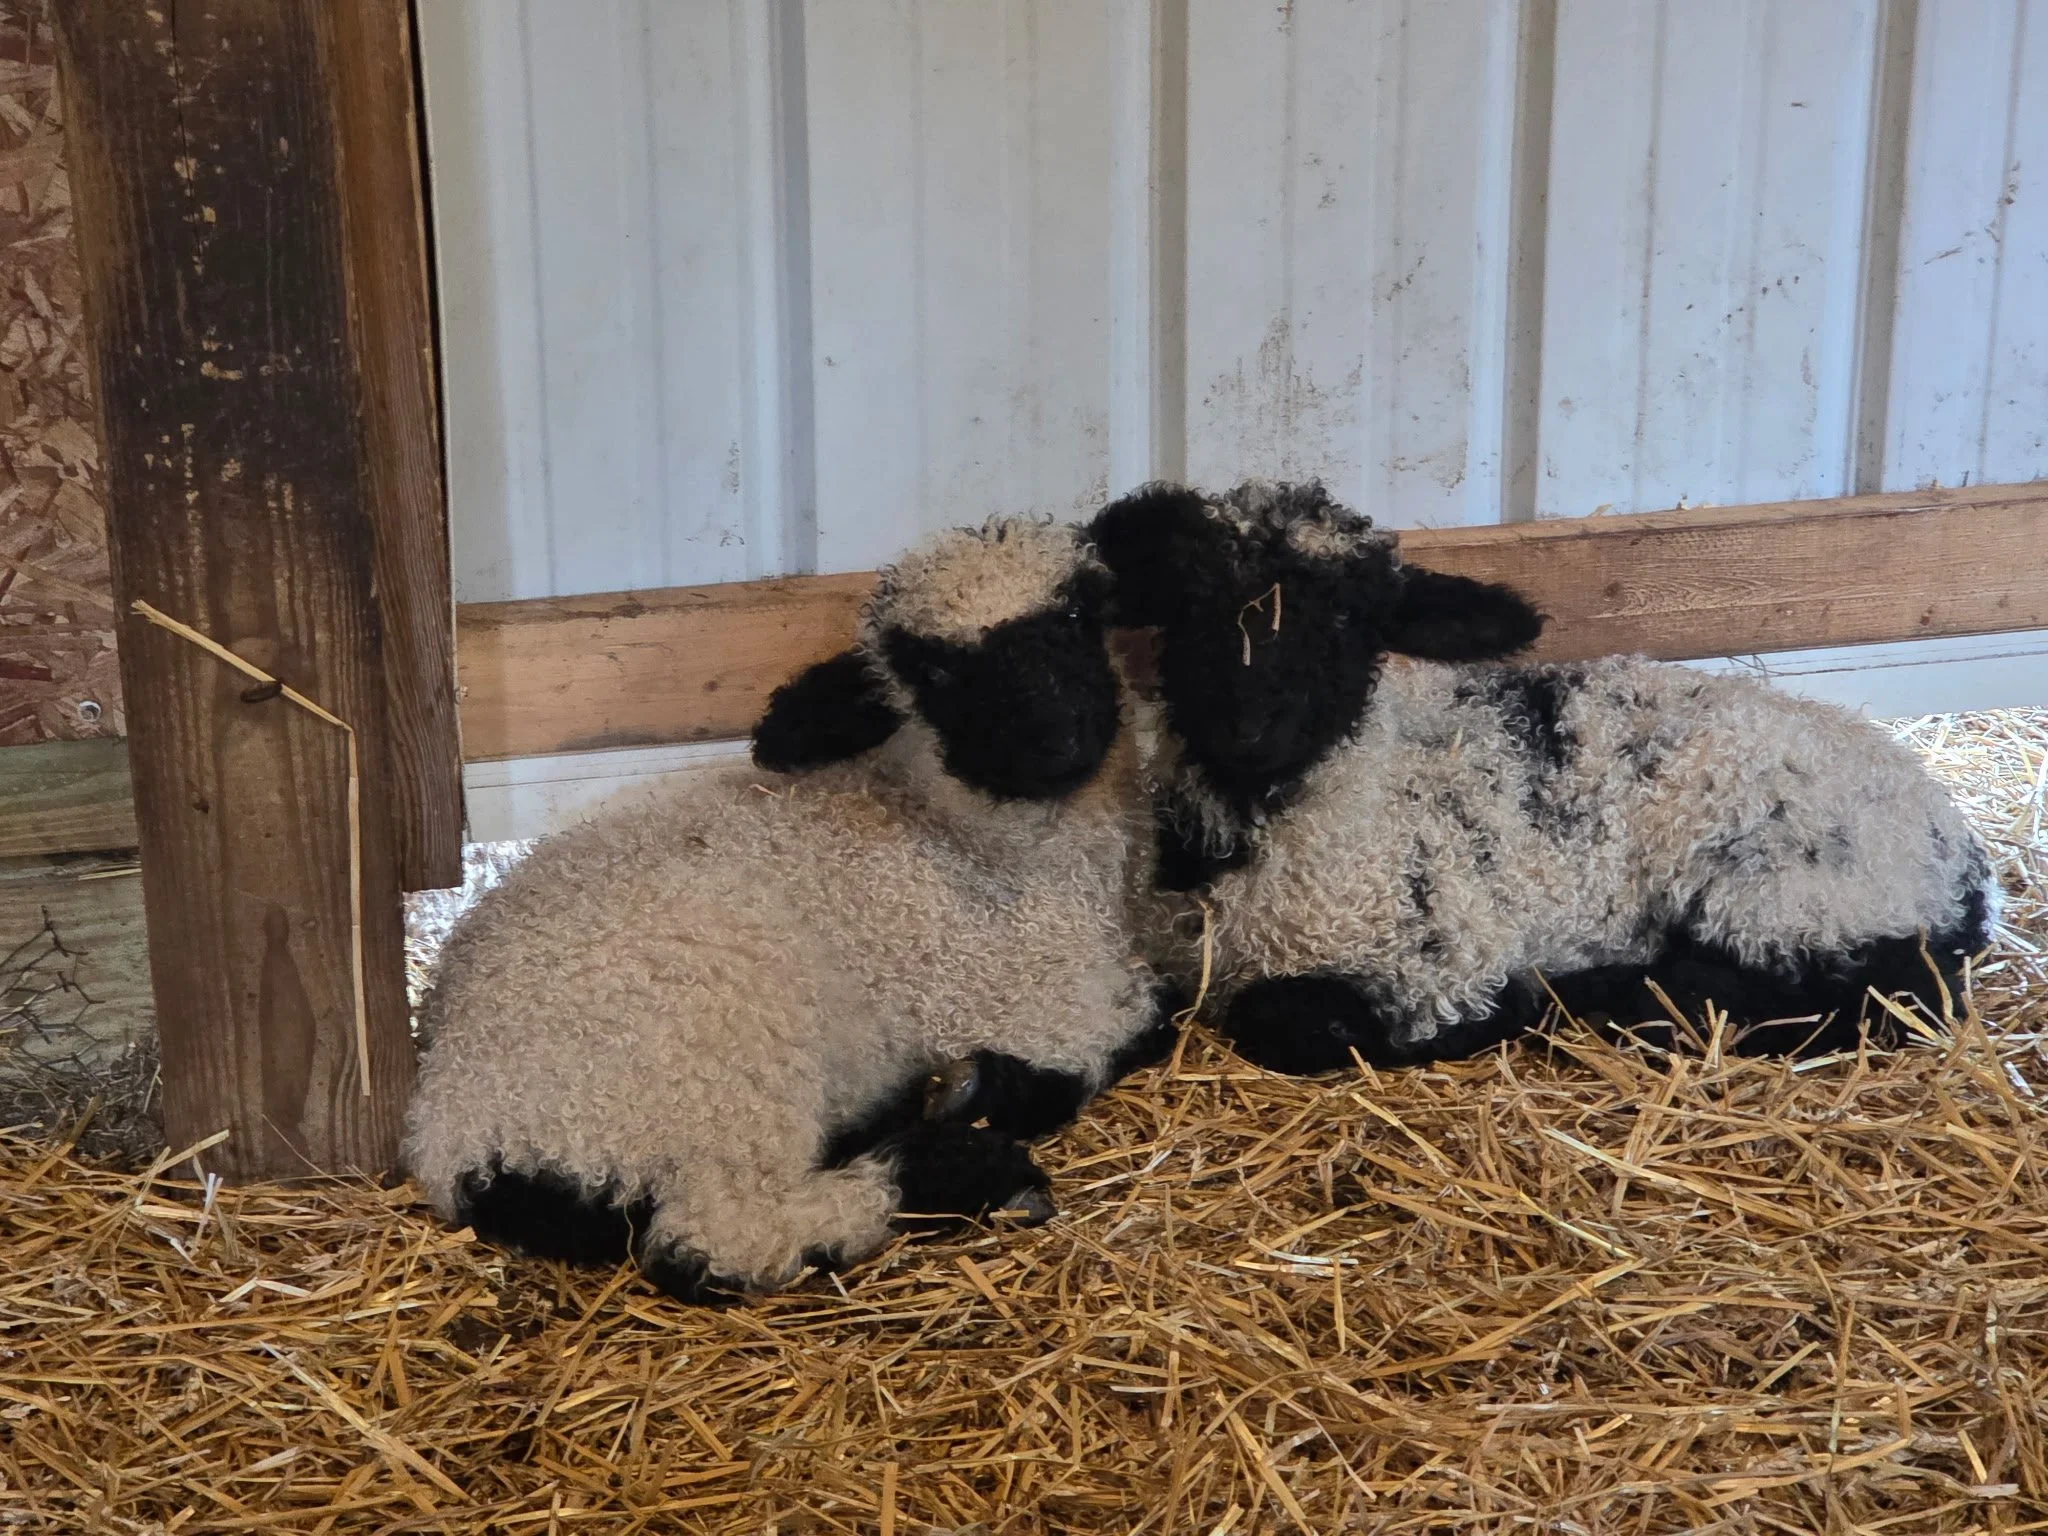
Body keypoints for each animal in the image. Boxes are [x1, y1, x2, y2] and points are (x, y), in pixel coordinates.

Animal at [403, 518, 1179, 1303]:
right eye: (935, 676)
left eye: (1078, 615)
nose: (1054, 736)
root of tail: (452, 1132)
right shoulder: (1021, 996)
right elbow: (1138, 1030)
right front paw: (988, 1091)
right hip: (709, 1076)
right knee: (713, 1239)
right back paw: (958, 1174)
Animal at [1088, 479, 1999, 1073]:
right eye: (1189, 604)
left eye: (1349, 618)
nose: (1248, 730)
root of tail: (1959, 858)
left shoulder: (1442, 957)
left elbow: (1295, 1023)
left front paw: (1513, 1012)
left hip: (1787, 889)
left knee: (1855, 997)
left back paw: (1606, 999)